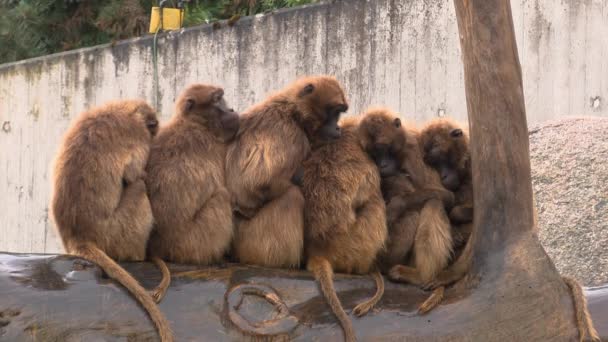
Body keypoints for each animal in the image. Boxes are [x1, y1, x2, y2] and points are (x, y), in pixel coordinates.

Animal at [49, 99, 173, 342]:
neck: (124, 110)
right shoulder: (138, 137)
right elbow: (134, 174)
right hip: (116, 233)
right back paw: (139, 255)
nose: (154, 132)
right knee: (138, 187)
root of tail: (77, 236)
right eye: (152, 129)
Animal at [146, 85, 239, 270]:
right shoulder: (214, 144)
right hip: (191, 244)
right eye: (217, 100)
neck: (194, 122)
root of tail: (159, 247)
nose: (231, 110)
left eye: (222, 98)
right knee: (221, 196)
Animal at [226, 76, 346, 268]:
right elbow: (256, 184)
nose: (337, 127)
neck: (293, 113)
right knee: (292, 196)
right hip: (251, 241)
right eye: (334, 113)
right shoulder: (290, 133)